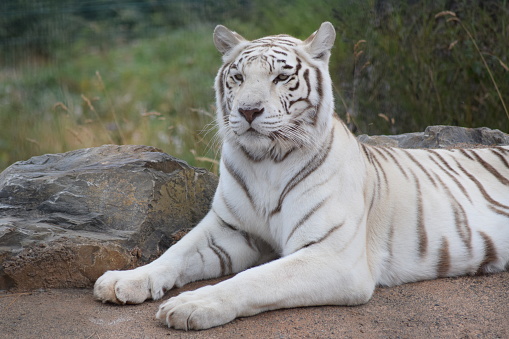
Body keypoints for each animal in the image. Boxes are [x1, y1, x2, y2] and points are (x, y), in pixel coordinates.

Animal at [93, 22, 508, 330]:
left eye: (281, 77)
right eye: (237, 77)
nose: (248, 111)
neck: (265, 161)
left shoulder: (333, 255)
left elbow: (255, 278)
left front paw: (193, 304)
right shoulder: (229, 228)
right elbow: (174, 253)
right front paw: (124, 280)